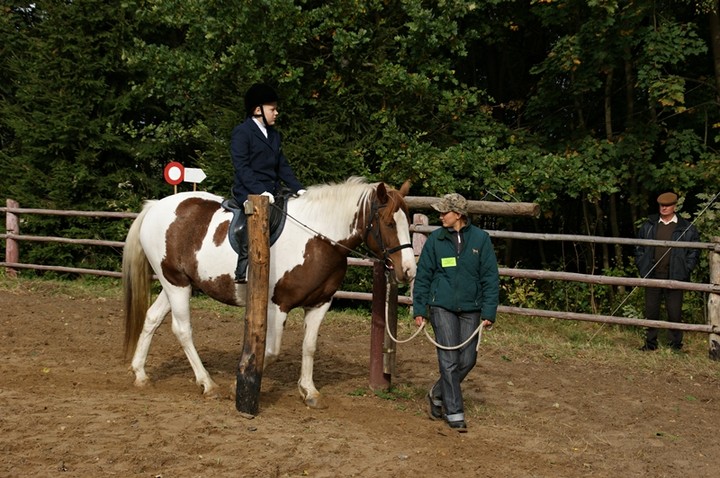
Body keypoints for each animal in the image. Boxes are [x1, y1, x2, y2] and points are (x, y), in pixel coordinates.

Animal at [122, 177, 416, 408]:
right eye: (389, 223)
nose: (409, 270)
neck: (316, 240)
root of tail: (155, 207)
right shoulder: (278, 305)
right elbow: (271, 351)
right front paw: (237, 387)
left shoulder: (320, 303)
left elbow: (309, 346)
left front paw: (309, 391)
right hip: (176, 283)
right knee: (182, 329)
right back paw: (208, 384)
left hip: (178, 283)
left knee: (152, 318)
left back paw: (140, 373)